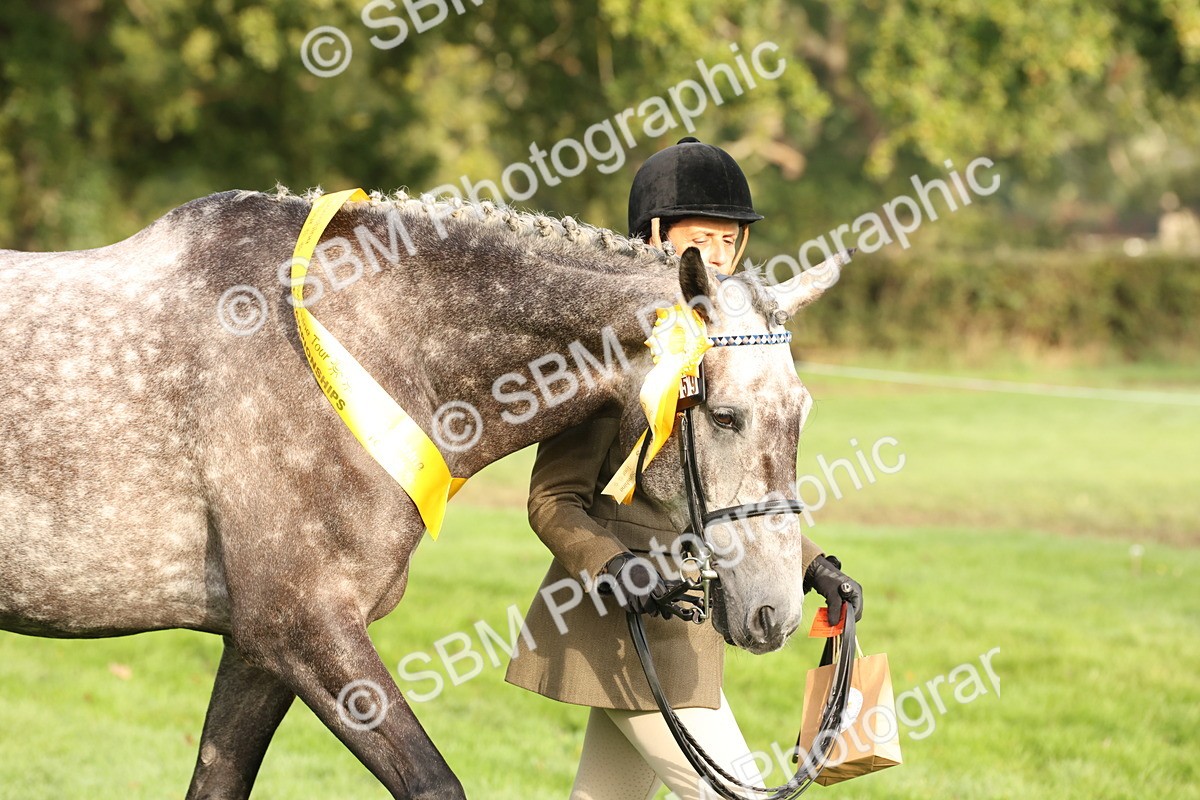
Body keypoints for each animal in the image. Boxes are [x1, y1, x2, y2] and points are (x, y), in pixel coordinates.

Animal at [0, 187, 843, 798]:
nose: (775, 611)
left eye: (804, 413)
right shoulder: (302, 629)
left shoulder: (256, 649)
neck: (362, 347)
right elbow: (434, 785)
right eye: (726, 416)